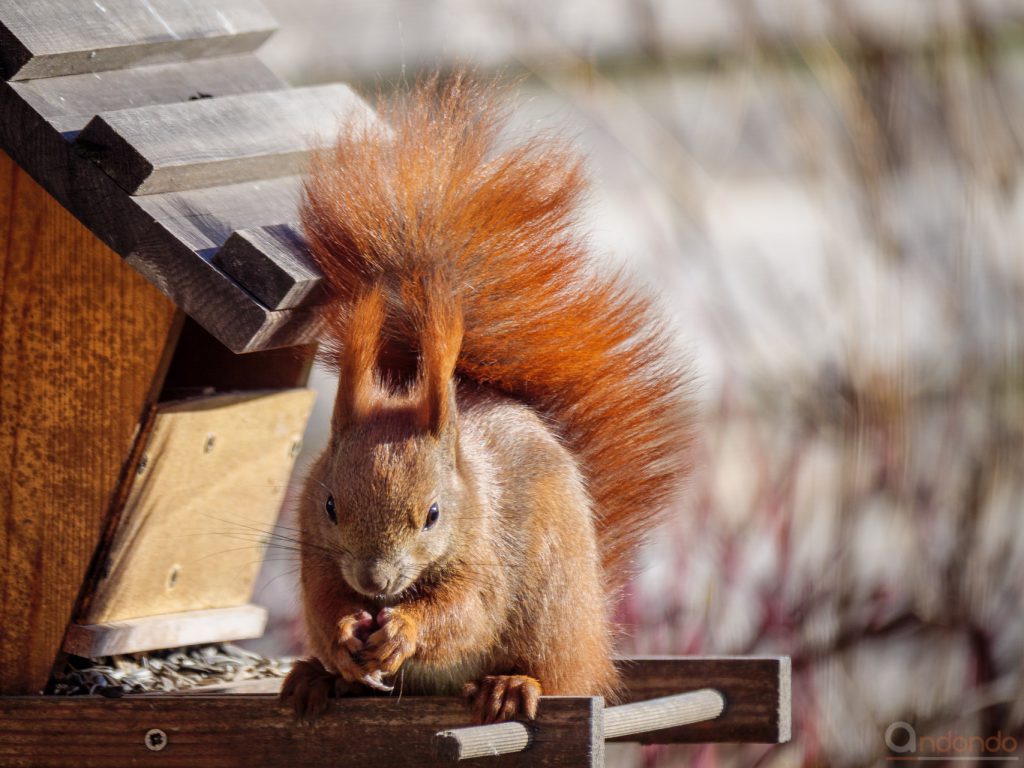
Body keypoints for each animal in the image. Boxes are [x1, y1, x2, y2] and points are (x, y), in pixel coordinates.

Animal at [280, 75, 696, 724]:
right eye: (329, 506)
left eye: (433, 514)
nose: (375, 581)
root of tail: (594, 635)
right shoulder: (313, 547)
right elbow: (324, 604)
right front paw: (346, 633)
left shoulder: (485, 555)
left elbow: (469, 611)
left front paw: (402, 631)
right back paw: (315, 679)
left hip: (552, 609)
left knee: (553, 670)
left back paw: (511, 685)